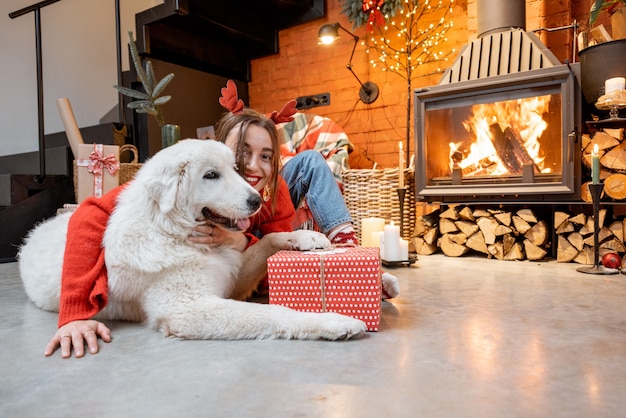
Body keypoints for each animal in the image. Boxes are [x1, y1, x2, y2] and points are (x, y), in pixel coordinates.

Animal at [19, 139, 366, 342]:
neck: (174, 231)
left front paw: (306, 236)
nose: (256, 200)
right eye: (210, 175)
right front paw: (333, 322)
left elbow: (269, 238)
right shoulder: (188, 309)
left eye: (234, 169)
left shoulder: (232, 273)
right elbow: (275, 313)